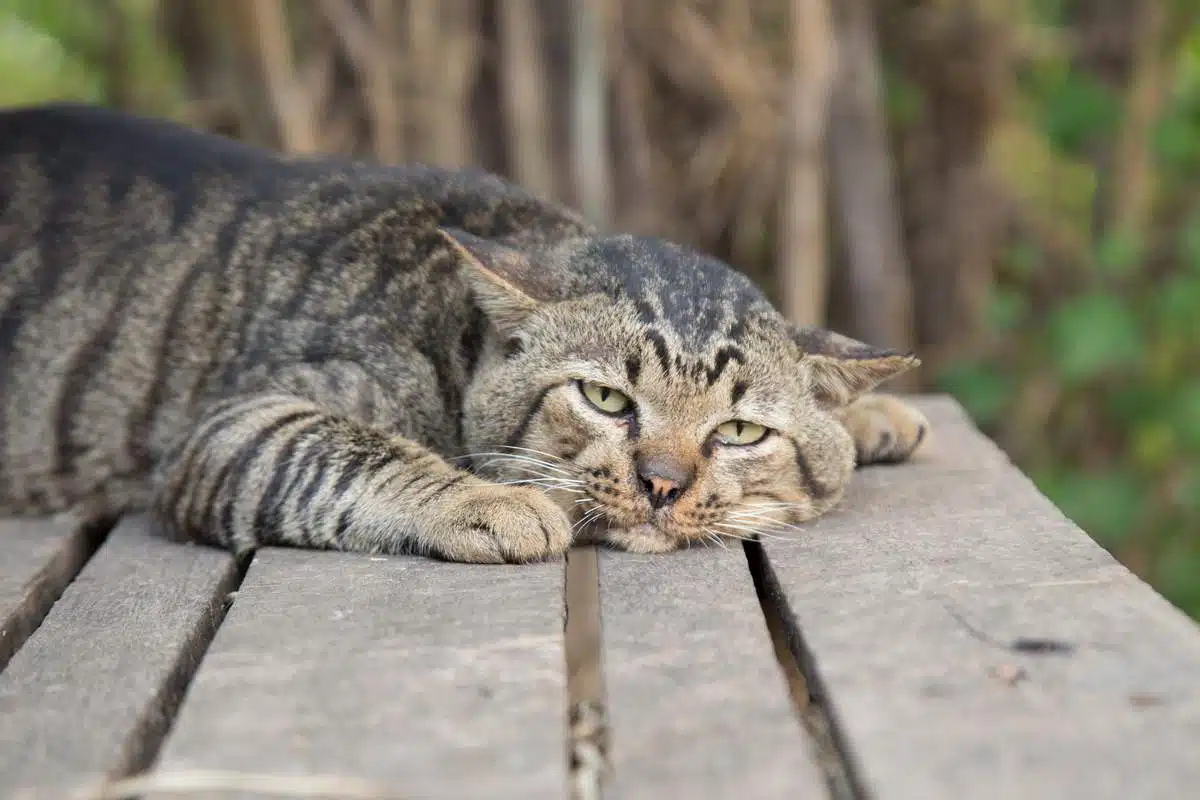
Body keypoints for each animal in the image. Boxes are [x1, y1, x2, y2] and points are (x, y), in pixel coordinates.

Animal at [0, 104, 926, 563]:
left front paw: (869, 415)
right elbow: (349, 450)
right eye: (604, 399)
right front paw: (490, 499)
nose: (661, 484)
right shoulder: (238, 424)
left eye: (737, 432)